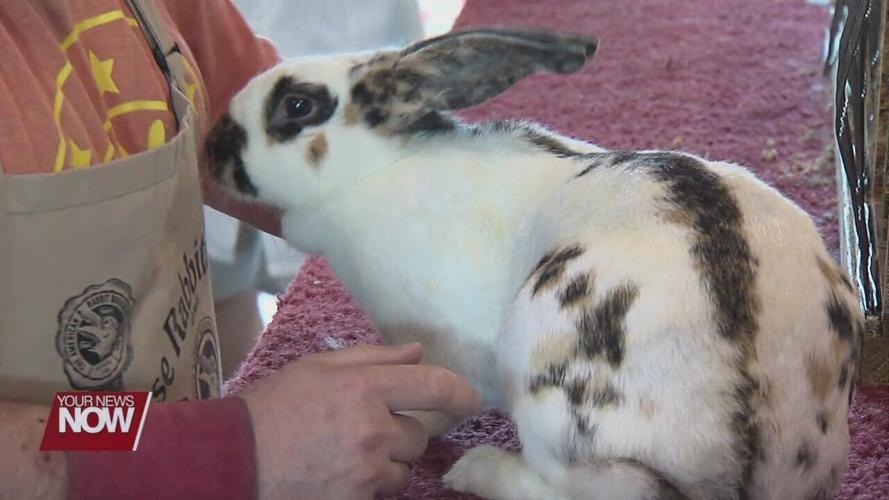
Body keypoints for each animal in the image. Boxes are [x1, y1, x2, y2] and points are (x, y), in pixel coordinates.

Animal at [205, 29, 863, 500]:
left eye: (297, 105)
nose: (210, 150)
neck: (371, 172)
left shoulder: (449, 349)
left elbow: (438, 399)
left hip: (550, 383)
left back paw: (476, 472)